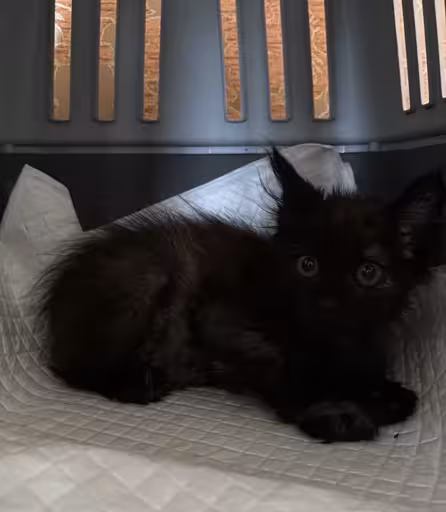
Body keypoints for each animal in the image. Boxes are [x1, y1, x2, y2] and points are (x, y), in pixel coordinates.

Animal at [36, 149, 445, 443]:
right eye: (308, 265)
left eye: (368, 272)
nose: (326, 303)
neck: (328, 344)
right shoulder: (221, 322)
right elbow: (283, 369)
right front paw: (334, 413)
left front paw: (381, 394)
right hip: (146, 279)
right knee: (73, 368)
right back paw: (136, 383)